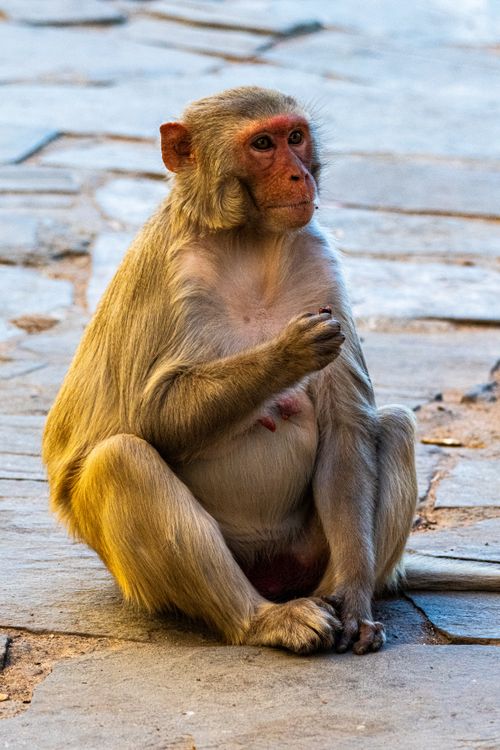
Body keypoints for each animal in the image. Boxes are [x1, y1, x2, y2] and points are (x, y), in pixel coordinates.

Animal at [42, 87, 500, 656]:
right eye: (263, 144)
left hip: (307, 554)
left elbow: (347, 428)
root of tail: (275, 580)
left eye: (296, 137)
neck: (250, 239)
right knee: (121, 459)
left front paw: (353, 604)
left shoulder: (319, 261)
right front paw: (285, 355)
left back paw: (339, 595)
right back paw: (259, 620)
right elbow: (150, 417)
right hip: (158, 583)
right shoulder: (166, 273)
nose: (299, 175)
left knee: (391, 426)